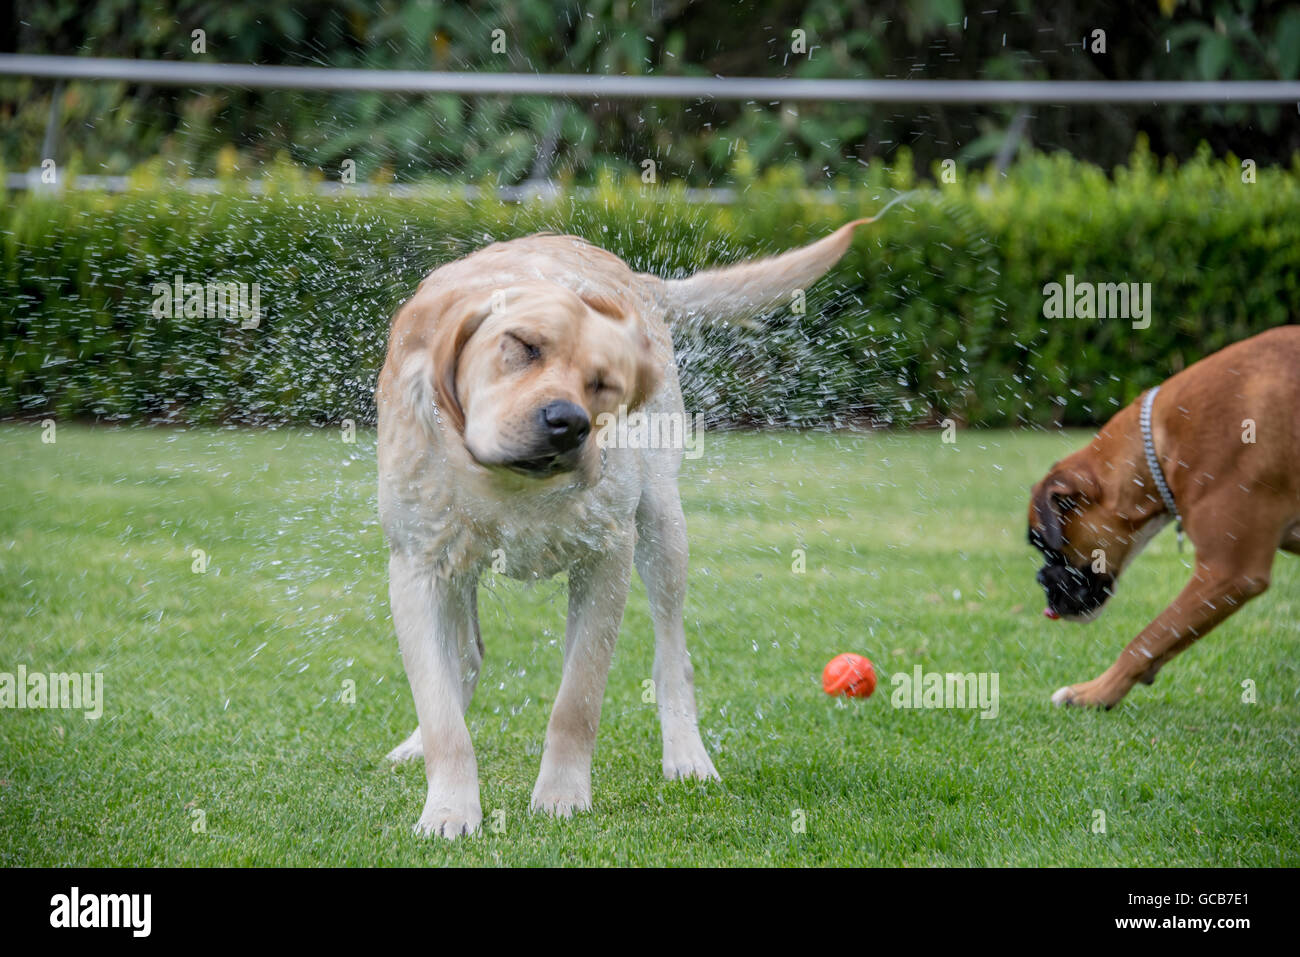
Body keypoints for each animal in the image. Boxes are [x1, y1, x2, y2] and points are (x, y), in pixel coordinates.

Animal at [1029, 325, 1294, 707]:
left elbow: (1146, 639)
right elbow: (1160, 640)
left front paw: (1095, 694)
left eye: (1043, 543)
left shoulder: (1227, 572)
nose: (1039, 578)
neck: (1158, 441)